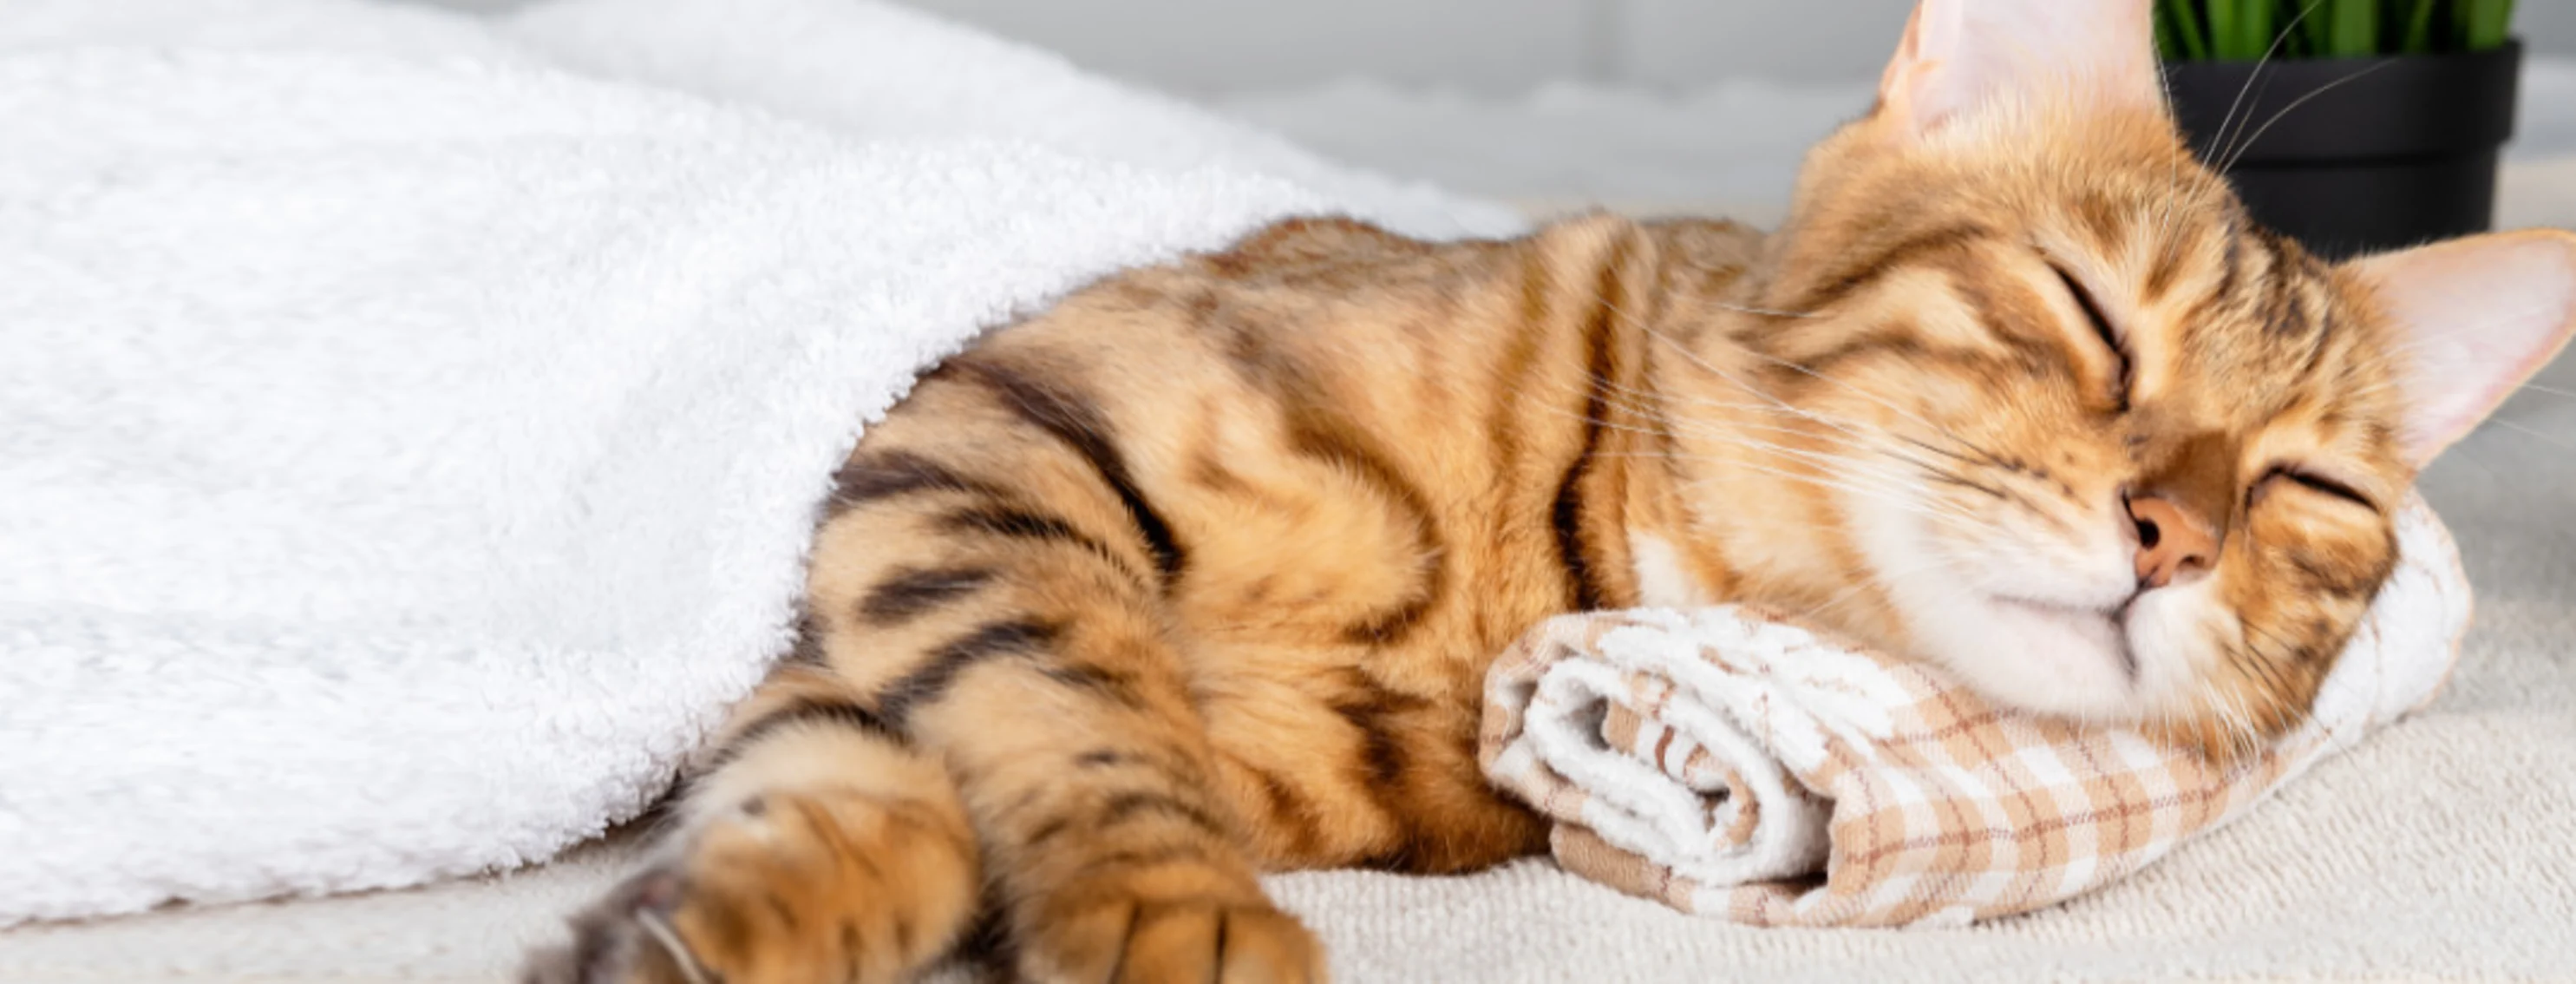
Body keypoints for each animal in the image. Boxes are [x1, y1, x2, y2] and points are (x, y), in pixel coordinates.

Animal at [522, 2, 2576, 984]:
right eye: (2084, 315)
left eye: (2309, 493)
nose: (2177, 534)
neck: (1557, 554)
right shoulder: (990, 430)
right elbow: (1053, 715)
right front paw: (1160, 901)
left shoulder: (927, 557)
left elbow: (896, 773)